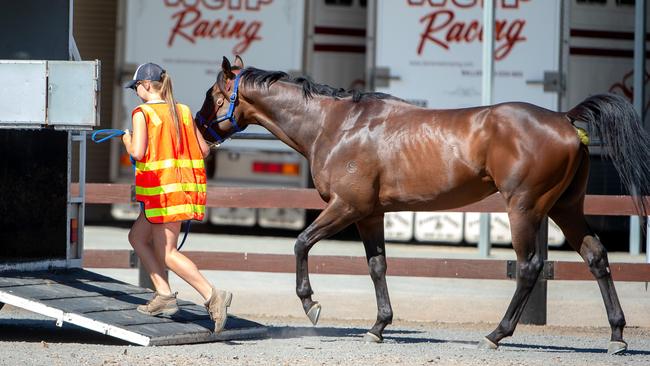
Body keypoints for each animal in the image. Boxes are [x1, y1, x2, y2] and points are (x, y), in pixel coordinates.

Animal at [196, 55, 648, 354]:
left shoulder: (347, 207)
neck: (336, 126)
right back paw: (617, 336)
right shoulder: (370, 215)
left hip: (525, 208)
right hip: (565, 208)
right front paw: (378, 326)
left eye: (215, 95)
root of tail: (564, 119)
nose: (200, 129)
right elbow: (377, 266)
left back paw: (497, 334)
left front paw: (311, 305)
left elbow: (302, 243)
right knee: (596, 256)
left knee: (530, 267)